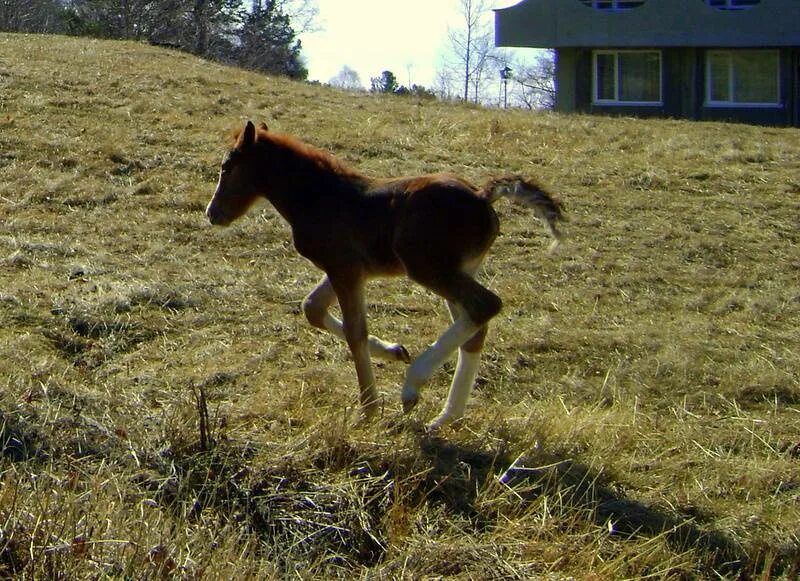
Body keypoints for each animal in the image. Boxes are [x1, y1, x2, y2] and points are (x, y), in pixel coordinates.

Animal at [206, 122, 564, 428]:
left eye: (227, 167)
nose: (213, 213)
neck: (320, 197)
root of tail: (481, 196)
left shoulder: (344, 269)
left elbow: (355, 333)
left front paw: (369, 410)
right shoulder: (349, 270)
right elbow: (313, 308)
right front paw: (394, 351)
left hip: (428, 268)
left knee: (485, 305)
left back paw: (413, 388)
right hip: (459, 270)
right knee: (475, 327)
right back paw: (447, 416)